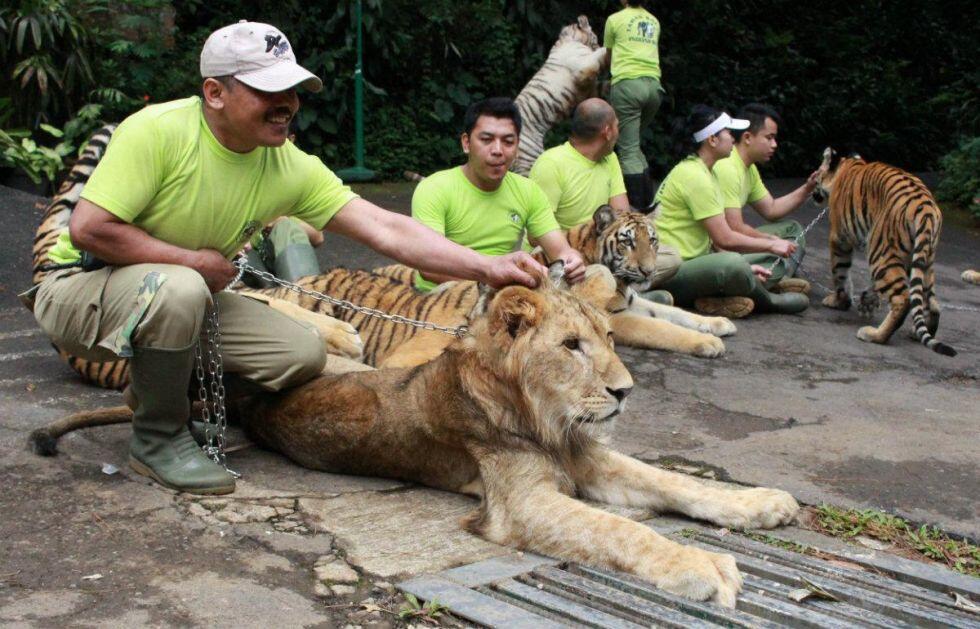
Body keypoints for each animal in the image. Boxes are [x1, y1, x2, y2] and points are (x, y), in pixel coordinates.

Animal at [32, 262, 796, 604]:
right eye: (572, 346)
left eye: (611, 338)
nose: (625, 390)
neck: (544, 416)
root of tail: (242, 404)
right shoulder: (521, 504)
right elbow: (623, 531)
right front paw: (704, 567)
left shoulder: (592, 459)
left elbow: (675, 482)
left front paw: (762, 504)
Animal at [812, 145, 956, 356]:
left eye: (816, 174)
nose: (812, 187)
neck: (847, 165)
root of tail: (927, 209)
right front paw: (866, 301)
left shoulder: (839, 238)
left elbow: (840, 273)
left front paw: (839, 301)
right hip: (923, 259)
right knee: (932, 303)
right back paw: (917, 332)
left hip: (881, 252)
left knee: (903, 299)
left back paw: (874, 335)